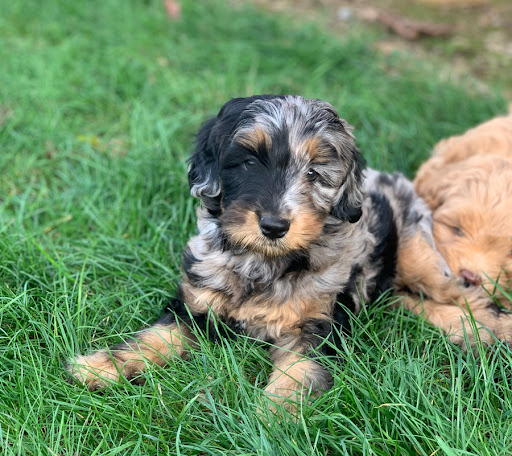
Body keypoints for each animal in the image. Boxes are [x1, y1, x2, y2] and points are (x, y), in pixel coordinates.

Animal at [69, 95, 456, 410]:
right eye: (250, 163)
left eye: (314, 173)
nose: (273, 225)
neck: (262, 261)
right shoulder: (198, 305)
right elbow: (155, 338)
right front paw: (101, 367)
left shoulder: (317, 323)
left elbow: (296, 376)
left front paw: (270, 420)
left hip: (419, 253)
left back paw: (469, 329)